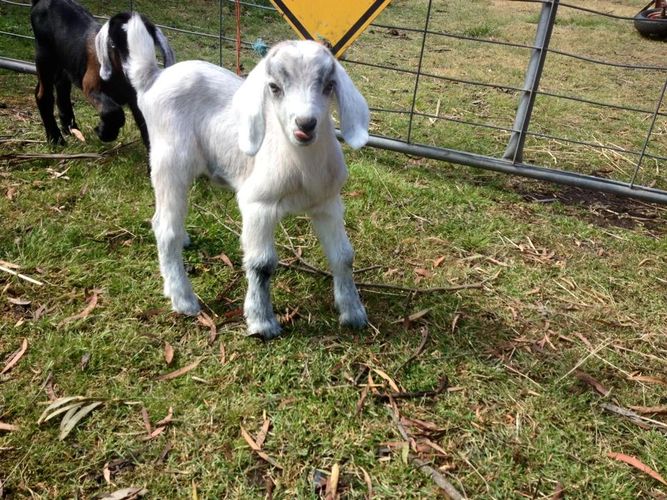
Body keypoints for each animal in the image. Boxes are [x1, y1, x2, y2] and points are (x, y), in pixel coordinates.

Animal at [30, 0, 174, 147]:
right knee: (43, 95)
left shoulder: (135, 98)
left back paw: (69, 127)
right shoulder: (91, 85)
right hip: (44, 55)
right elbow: (113, 111)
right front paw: (104, 132)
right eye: (113, 44)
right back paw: (55, 138)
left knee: (61, 85)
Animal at [104, 13, 369, 339]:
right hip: (170, 161)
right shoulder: (257, 205)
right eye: (274, 87)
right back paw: (184, 299)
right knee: (164, 228)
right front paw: (262, 322)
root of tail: (154, 78)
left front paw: (353, 312)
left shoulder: (328, 203)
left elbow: (343, 256)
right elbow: (261, 264)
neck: (301, 165)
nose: (305, 124)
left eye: (329, 85)